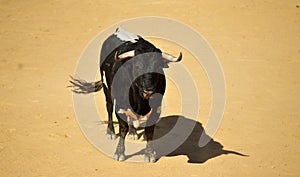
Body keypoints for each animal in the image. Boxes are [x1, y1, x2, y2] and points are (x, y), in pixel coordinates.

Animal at [70, 28, 182, 162]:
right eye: (137, 66)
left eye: (158, 66)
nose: (149, 90)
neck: (140, 101)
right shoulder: (120, 107)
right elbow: (123, 128)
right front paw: (119, 153)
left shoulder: (156, 108)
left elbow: (149, 131)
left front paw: (149, 154)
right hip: (107, 90)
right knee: (109, 107)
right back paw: (111, 132)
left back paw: (133, 132)